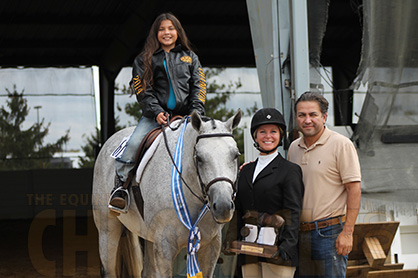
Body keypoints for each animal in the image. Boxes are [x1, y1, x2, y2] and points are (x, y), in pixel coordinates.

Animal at [91, 109, 242, 276]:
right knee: (109, 269)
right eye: (199, 158)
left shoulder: (211, 245)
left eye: (235, 155)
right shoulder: (164, 248)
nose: (223, 207)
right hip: (107, 230)